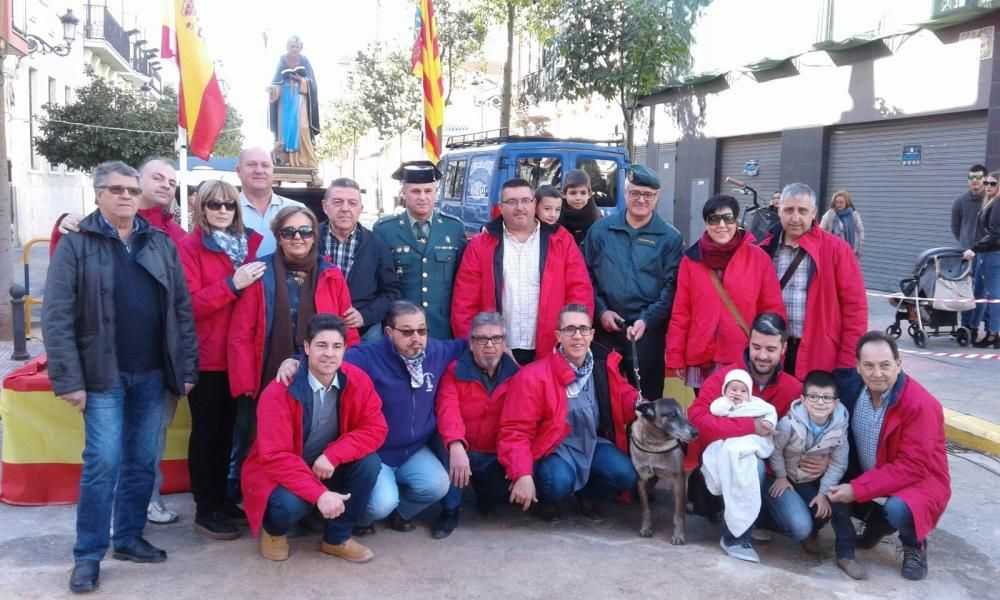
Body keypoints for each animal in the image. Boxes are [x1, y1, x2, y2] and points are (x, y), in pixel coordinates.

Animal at [628, 398, 700, 544]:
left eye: (685, 413)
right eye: (672, 415)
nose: (696, 432)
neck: (655, 443)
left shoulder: (678, 479)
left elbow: (678, 514)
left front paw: (678, 535)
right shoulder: (641, 478)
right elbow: (645, 509)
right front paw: (645, 528)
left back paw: (690, 504)